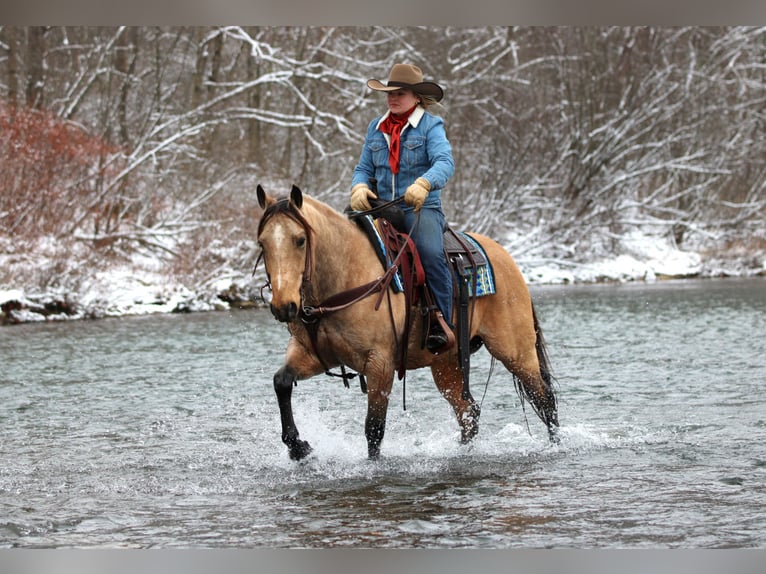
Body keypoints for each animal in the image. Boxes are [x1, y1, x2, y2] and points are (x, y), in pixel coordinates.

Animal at [255, 184, 558, 460]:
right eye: (262, 243)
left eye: (299, 240)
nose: (283, 306)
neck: (344, 276)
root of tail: (505, 258)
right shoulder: (312, 354)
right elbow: (281, 382)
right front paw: (298, 447)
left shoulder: (380, 363)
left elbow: (374, 427)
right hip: (447, 363)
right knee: (468, 411)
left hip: (515, 351)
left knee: (544, 398)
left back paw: (556, 445)